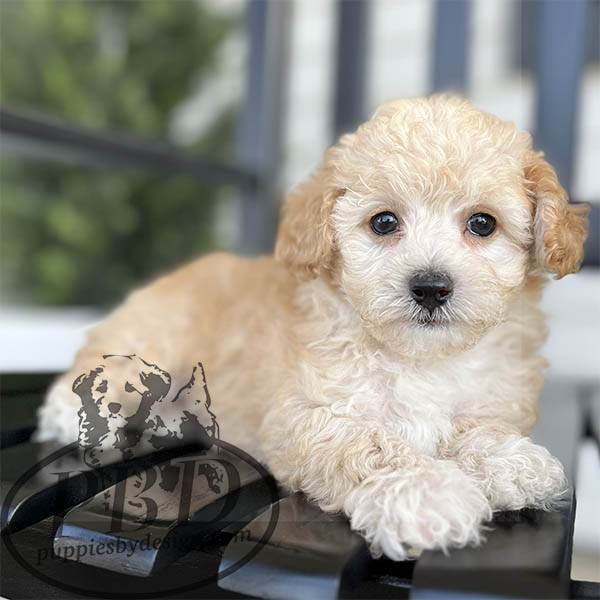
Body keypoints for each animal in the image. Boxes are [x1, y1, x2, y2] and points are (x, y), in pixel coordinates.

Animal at [36, 95, 588, 560]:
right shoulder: (303, 415)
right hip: (154, 333)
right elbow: (370, 445)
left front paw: (510, 460)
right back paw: (70, 407)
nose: (431, 287)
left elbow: (478, 427)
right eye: (384, 222)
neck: (419, 357)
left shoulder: (494, 397)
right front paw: (428, 494)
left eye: (482, 224)